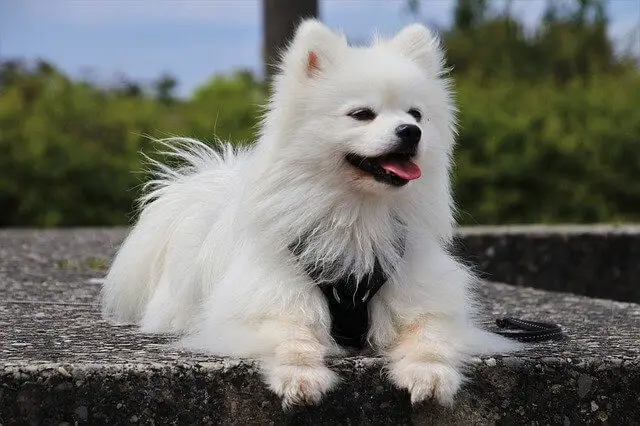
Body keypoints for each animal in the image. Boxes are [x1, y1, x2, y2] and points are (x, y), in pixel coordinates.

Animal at [102, 20, 516, 410]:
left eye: (416, 114)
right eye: (362, 114)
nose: (410, 131)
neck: (358, 217)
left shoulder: (423, 299)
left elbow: (429, 336)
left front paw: (430, 375)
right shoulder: (266, 305)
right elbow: (293, 337)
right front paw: (300, 378)